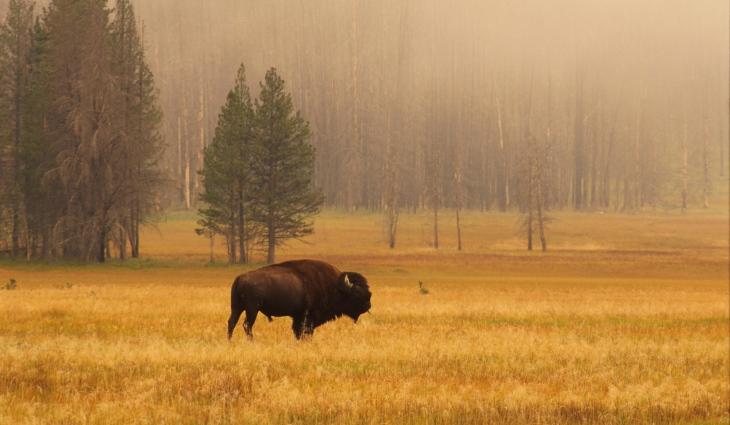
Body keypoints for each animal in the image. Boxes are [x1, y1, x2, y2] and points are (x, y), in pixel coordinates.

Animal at [226, 258, 370, 338]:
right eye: (357, 293)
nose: (368, 305)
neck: (335, 286)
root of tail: (240, 278)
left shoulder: (298, 316)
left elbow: (297, 330)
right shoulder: (308, 316)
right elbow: (304, 331)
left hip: (237, 307)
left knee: (232, 322)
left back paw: (230, 341)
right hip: (252, 309)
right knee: (247, 325)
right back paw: (251, 341)